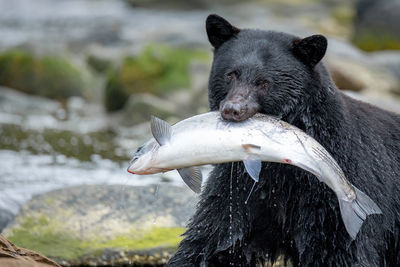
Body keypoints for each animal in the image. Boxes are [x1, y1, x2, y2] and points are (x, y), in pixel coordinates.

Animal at [166, 15, 400, 267]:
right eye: (230, 74)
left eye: (264, 82)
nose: (232, 109)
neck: (279, 166)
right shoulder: (239, 187)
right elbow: (213, 240)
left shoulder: (331, 194)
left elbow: (341, 250)